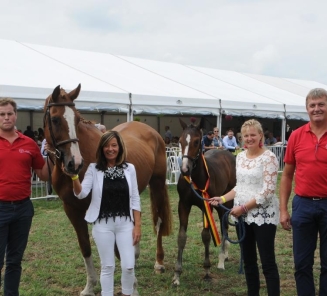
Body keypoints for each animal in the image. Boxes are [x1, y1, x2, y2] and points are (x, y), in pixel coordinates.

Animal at [44, 84, 173, 296]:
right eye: (55, 119)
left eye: (77, 119)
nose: (74, 163)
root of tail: (150, 130)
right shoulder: (72, 210)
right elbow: (85, 247)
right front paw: (90, 286)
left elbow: (116, 250)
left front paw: (132, 285)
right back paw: (136, 254)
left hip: (157, 184)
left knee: (159, 221)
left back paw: (159, 262)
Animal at [173, 119, 237, 286]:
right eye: (180, 141)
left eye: (196, 141)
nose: (185, 169)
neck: (195, 179)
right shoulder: (183, 205)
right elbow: (181, 236)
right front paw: (177, 274)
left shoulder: (206, 205)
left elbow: (206, 236)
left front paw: (207, 271)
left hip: (226, 201)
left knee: (224, 225)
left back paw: (221, 260)